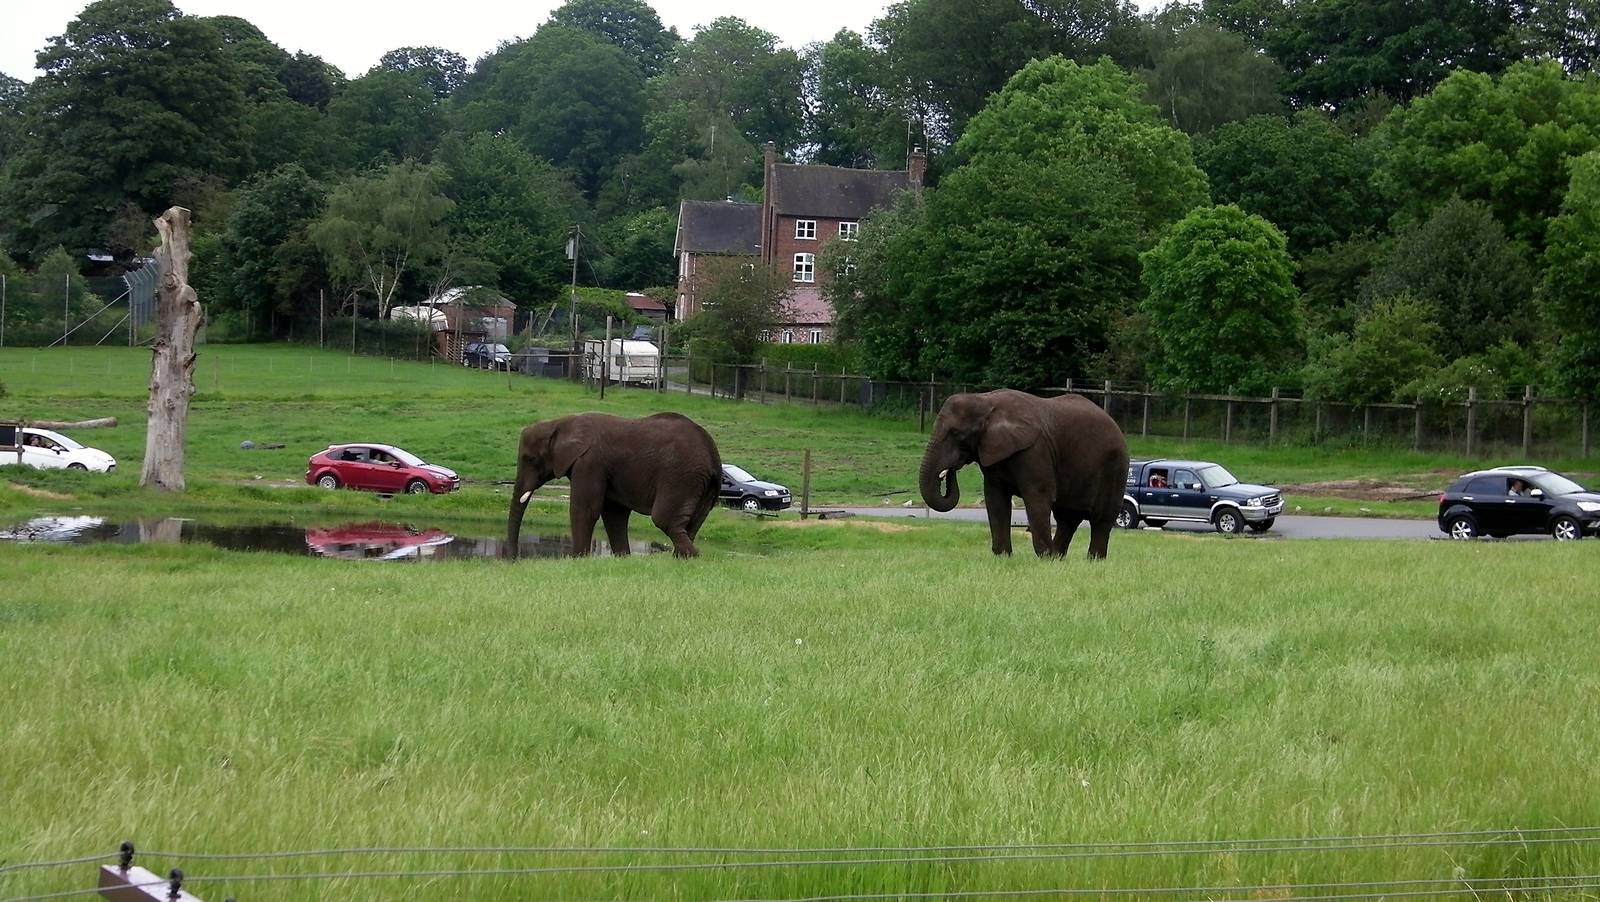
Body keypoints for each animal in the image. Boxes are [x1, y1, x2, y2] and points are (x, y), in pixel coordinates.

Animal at [506, 412, 722, 559]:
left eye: (530, 459)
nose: (513, 559)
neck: (560, 423)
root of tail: (713, 456)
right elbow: (614, 515)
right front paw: (623, 557)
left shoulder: (590, 462)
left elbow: (585, 510)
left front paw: (578, 559)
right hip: (704, 486)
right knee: (691, 524)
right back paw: (681, 557)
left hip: (680, 476)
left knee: (664, 519)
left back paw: (692, 556)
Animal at [919, 389, 1130, 559]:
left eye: (956, 433)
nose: (950, 469)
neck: (985, 400)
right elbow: (995, 499)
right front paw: (1003, 557)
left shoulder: (1035, 450)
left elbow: (1037, 495)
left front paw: (1044, 558)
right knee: (1067, 518)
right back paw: (1059, 558)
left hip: (1115, 467)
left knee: (1101, 519)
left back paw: (1091, 560)